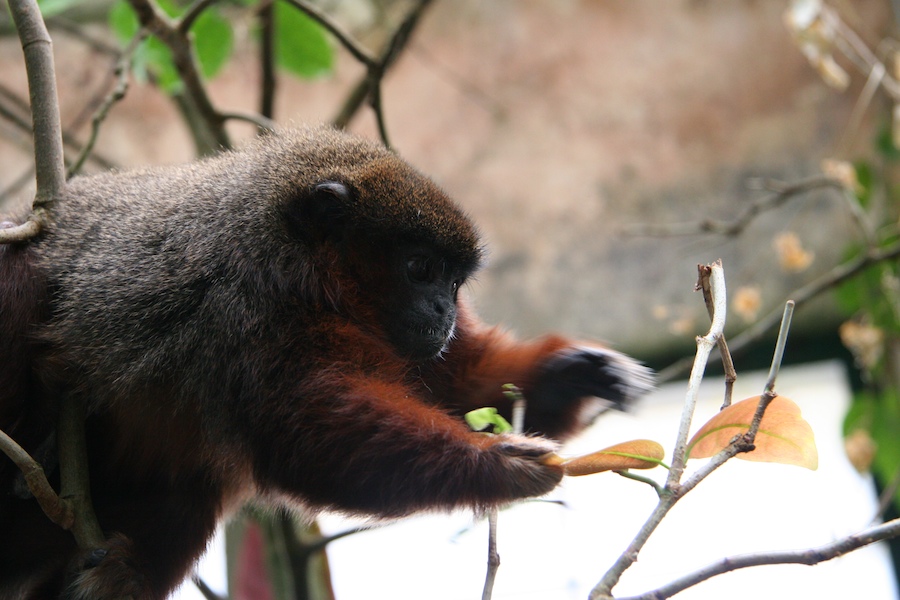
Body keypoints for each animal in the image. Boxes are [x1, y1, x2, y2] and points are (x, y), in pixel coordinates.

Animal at [0, 124, 652, 596]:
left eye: (454, 282)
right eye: (420, 269)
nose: (443, 310)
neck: (313, 276)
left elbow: (454, 385)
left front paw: (567, 375)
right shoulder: (246, 301)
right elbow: (299, 426)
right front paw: (494, 464)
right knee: (20, 267)